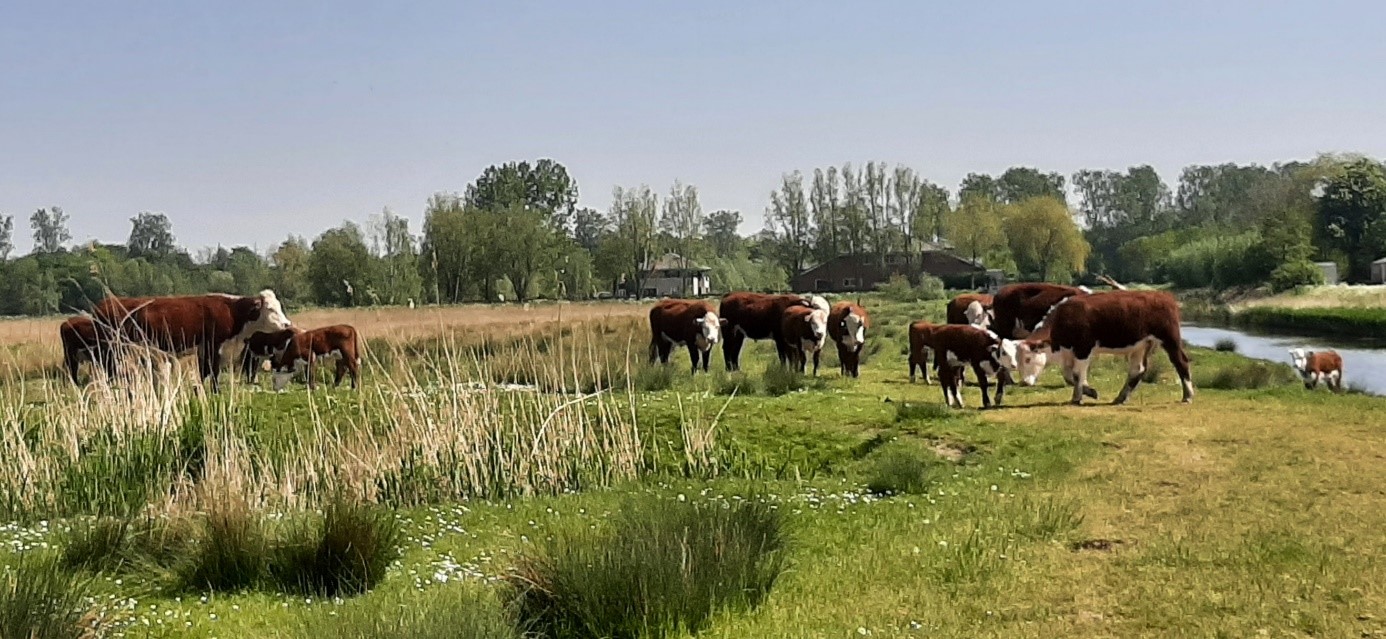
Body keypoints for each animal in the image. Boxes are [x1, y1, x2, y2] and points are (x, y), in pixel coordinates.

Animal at [91, 290, 292, 392]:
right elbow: (213, 372)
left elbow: (204, 372)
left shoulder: (204, 350)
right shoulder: (213, 347)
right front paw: (214, 392)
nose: (287, 323)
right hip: (112, 350)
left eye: (279, 306)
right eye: (271, 309)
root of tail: (103, 304)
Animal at [999, 290, 1194, 406]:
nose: (1024, 382)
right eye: (1016, 361)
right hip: (1140, 345)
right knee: (1137, 370)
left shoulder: (1083, 349)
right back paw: (1121, 397)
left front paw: (1078, 397)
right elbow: (1069, 375)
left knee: (1181, 363)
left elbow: (1077, 374)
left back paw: (1188, 395)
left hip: (1170, 339)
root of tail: (1162, 295)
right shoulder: (1069, 352)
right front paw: (1088, 392)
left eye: (1028, 358)